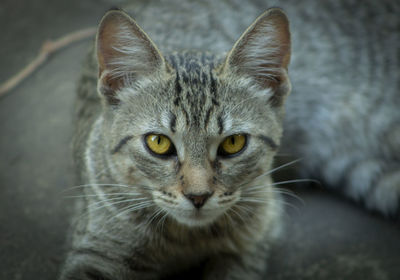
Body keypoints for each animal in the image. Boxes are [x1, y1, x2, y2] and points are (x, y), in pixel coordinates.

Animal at [59, 0, 400, 278]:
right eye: (159, 143)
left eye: (233, 143)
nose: (198, 196)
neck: (188, 239)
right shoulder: (98, 248)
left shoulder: (260, 227)